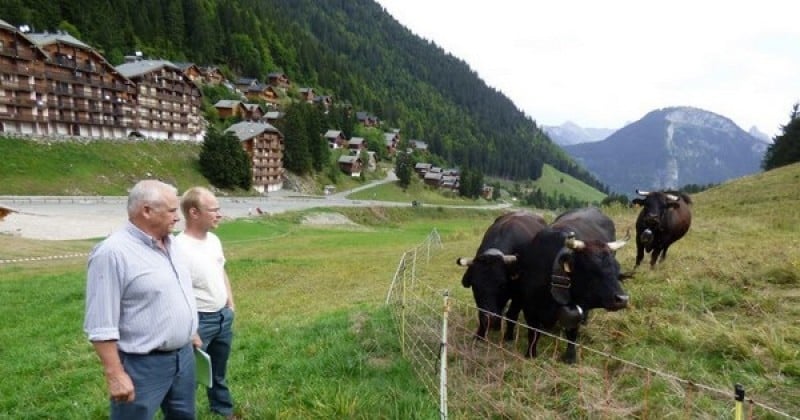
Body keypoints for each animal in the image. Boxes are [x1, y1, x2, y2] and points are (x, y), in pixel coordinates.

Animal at [460, 212, 548, 340]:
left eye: (502, 285)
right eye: (475, 286)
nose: (490, 318)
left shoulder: (519, 295)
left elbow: (511, 314)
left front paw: (508, 336)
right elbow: (481, 314)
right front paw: (480, 334)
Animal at [512, 208, 632, 362]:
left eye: (617, 269)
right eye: (592, 269)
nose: (622, 299)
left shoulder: (578, 306)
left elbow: (572, 333)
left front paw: (570, 357)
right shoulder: (529, 307)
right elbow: (533, 333)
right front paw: (530, 354)